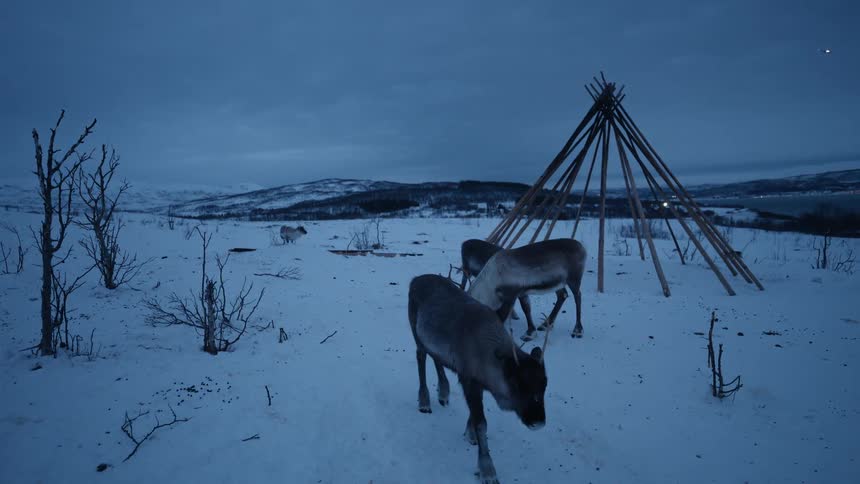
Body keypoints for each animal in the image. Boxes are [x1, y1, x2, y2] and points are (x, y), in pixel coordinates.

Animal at [409, 274, 548, 484]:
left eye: (545, 384)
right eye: (517, 384)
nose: (538, 421)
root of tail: (415, 279)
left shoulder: (478, 382)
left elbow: (475, 417)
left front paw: (470, 434)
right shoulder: (468, 379)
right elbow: (481, 423)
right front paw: (487, 470)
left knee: (436, 357)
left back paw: (443, 392)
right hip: (415, 330)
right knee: (421, 357)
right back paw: (424, 401)